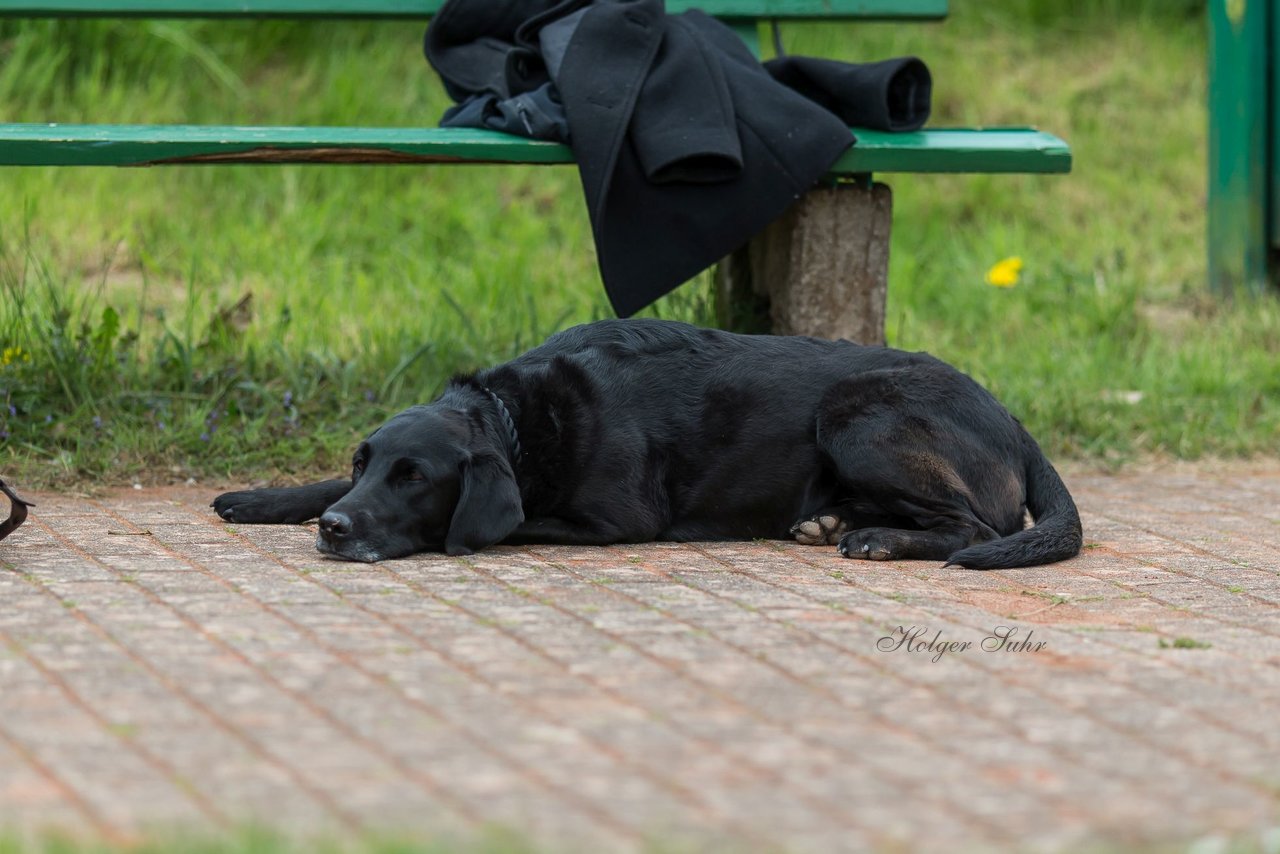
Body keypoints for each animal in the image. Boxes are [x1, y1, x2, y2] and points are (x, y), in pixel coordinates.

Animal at [209, 318, 1080, 568]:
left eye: (415, 478)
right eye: (368, 464)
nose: (334, 533)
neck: (518, 418)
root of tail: (1012, 417)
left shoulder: (617, 521)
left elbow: (514, 522)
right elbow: (318, 481)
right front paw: (263, 498)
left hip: (857, 413)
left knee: (975, 526)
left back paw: (876, 538)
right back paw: (833, 520)